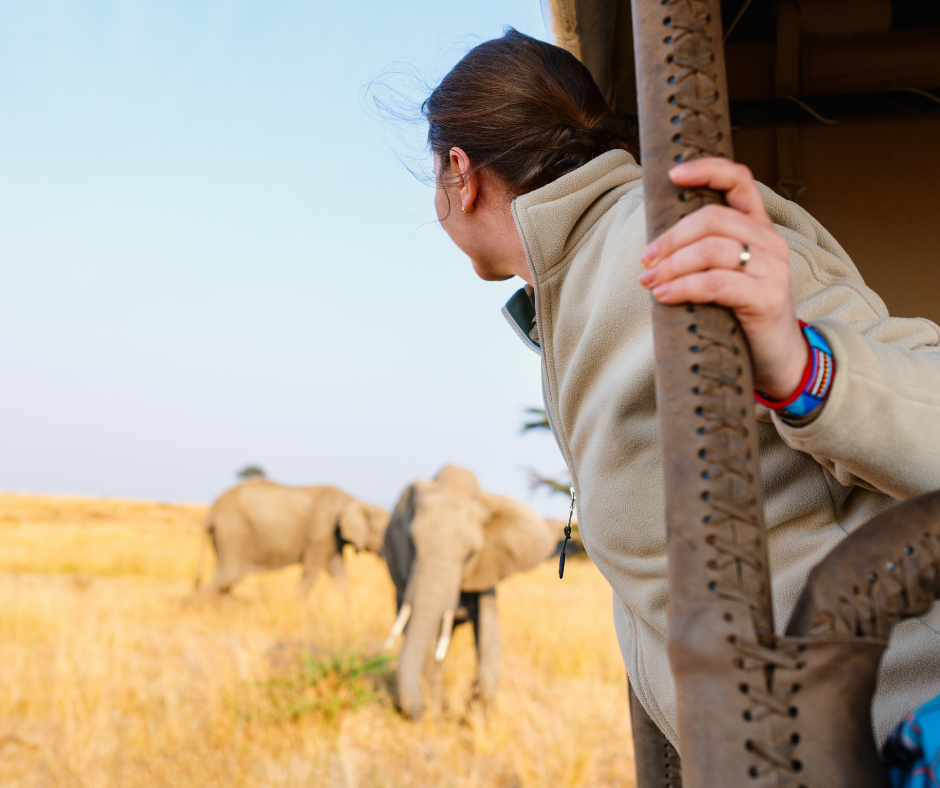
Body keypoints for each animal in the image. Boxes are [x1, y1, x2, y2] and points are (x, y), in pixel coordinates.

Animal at [195, 478, 390, 596]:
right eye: (383, 532)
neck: (355, 500)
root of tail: (211, 513)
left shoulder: (333, 539)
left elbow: (338, 572)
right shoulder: (321, 533)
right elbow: (311, 570)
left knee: (225, 582)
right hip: (231, 535)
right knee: (228, 578)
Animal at [383, 465, 559, 718]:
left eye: (470, 555)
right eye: (411, 543)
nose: (410, 710)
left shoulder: (488, 566)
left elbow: (488, 625)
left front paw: (474, 712)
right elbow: (428, 637)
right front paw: (434, 712)